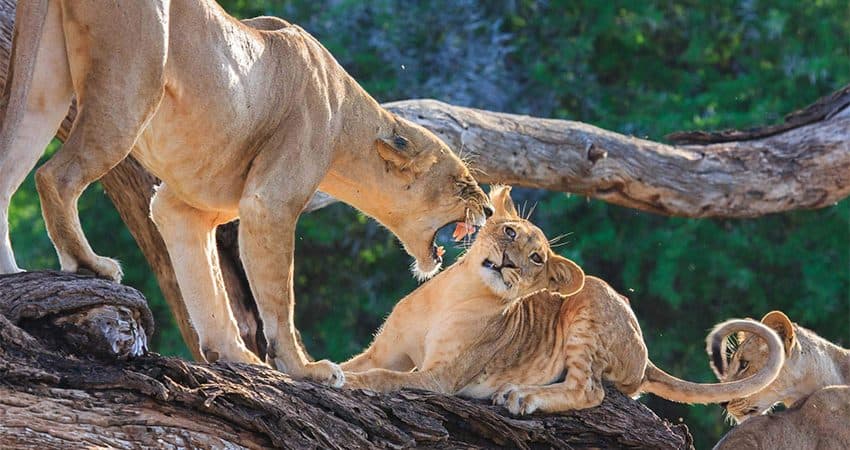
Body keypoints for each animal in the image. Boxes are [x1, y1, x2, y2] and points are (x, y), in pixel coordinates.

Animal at [0, 1, 491, 385]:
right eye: (462, 183)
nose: (488, 208)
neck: (347, 120)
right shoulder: (268, 203)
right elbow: (278, 297)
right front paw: (305, 369)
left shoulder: (181, 206)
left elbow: (208, 289)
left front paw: (236, 357)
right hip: (130, 85)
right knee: (54, 176)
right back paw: (91, 264)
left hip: (43, 87)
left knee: (9, 173)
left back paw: (11, 274)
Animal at [343, 186, 786, 415]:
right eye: (509, 232)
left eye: (537, 258)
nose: (509, 262)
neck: (456, 293)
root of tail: (644, 359)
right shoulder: (386, 351)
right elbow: (360, 365)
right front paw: (330, 371)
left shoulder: (441, 378)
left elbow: (384, 379)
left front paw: (350, 384)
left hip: (588, 306)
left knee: (590, 390)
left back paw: (520, 396)